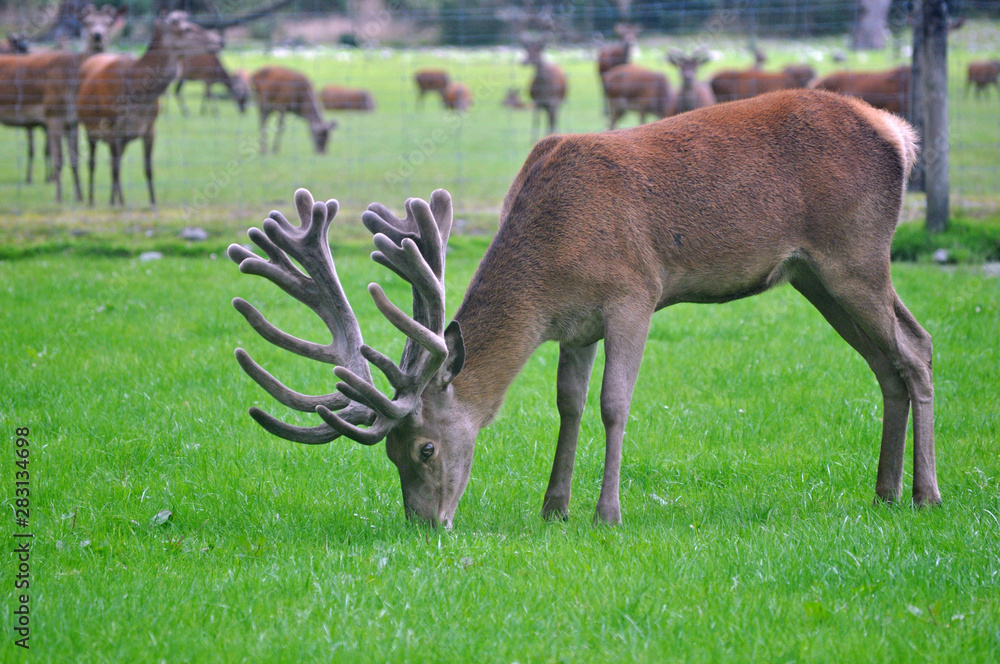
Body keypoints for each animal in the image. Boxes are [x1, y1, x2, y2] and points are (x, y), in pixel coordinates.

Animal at [230, 88, 940, 528]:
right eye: (391, 457)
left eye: (425, 450)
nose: (426, 524)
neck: (553, 257)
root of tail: (899, 134)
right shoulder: (575, 325)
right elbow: (568, 405)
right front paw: (554, 507)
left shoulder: (634, 293)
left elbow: (612, 403)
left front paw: (607, 513)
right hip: (815, 276)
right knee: (889, 361)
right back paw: (885, 492)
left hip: (856, 255)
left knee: (917, 348)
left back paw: (926, 494)